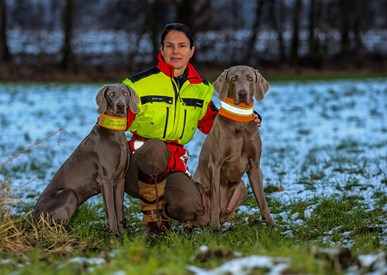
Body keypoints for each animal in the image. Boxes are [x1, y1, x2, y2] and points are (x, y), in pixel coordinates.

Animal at [31, 84, 139, 235]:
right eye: (111, 94)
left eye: (125, 93)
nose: (120, 106)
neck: (115, 133)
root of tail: (32, 217)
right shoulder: (105, 179)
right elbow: (111, 210)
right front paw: (114, 233)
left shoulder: (120, 179)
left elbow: (119, 209)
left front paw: (122, 233)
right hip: (69, 194)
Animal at [191, 66, 276, 230]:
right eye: (233, 79)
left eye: (250, 78)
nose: (243, 94)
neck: (240, 120)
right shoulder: (215, 164)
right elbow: (216, 199)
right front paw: (215, 227)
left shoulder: (255, 165)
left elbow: (262, 199)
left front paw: (271, 223)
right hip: (197, 187)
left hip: (242, 187)